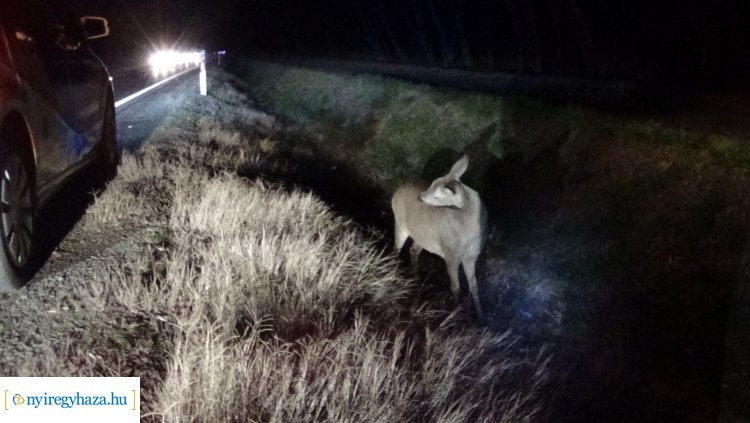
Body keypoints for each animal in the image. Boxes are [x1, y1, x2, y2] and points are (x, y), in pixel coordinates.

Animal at [390, 157, 490, 320]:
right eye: (432, 183)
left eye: (437, 195)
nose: (420, 197)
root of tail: (398, 189)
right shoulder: (450, 255)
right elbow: (456, 287)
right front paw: (454, 314)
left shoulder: (471, 257)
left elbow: (474, 287)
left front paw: (481, 316)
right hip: (400, 223)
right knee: (396, 248)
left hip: (423, 236)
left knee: (413, 249)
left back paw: (416, 279)